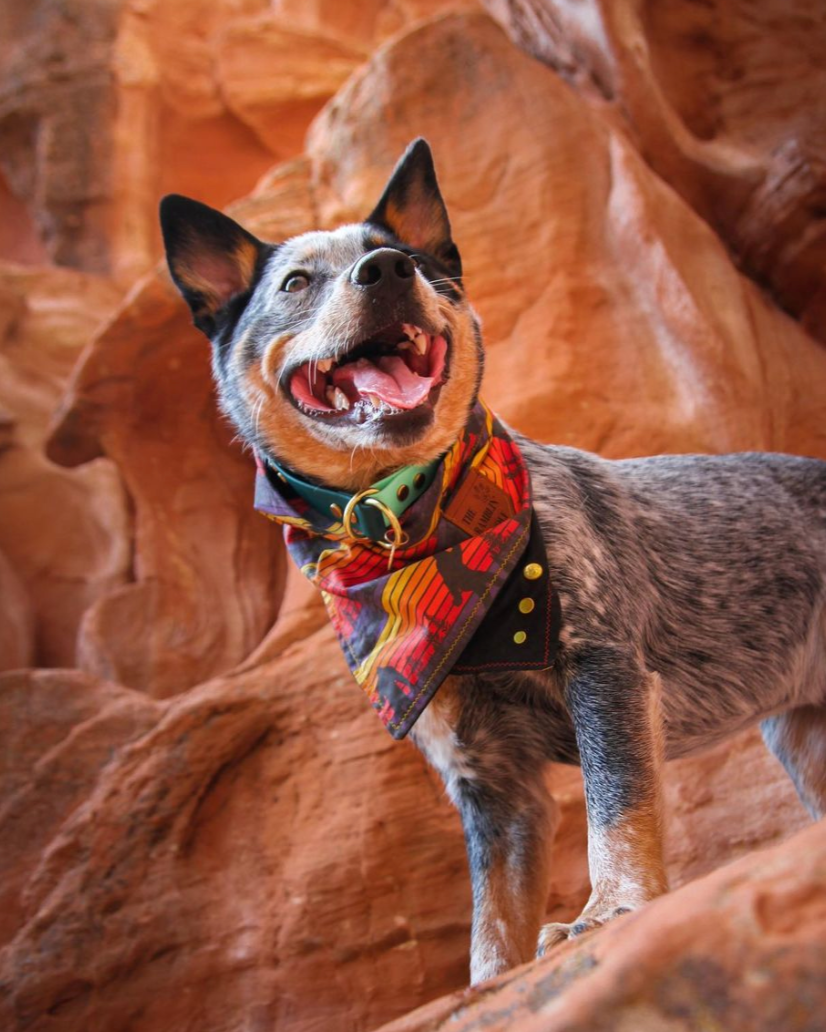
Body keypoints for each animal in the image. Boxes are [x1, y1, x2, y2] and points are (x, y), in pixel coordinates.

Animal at [160, 137, 826, 982]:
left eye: (412, 259)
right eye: (296, 282)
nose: (387, 269)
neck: (414, 539)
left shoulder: (606, 672)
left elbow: (617, 809)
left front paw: (612, 909)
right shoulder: (489, 779)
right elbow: (493, 925)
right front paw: (492, 980)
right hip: (803, 737)